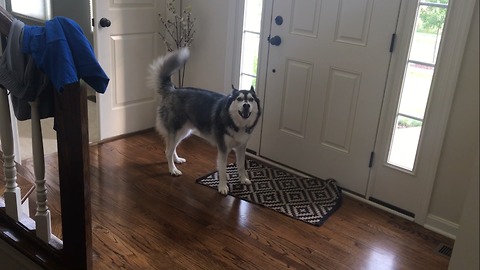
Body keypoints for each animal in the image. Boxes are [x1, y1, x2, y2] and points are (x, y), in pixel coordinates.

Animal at [150, 48, 262, 195]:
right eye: (239, 99)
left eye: (250, 99)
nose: (246, 106)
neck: (236, 123)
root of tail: (173, 90)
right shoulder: (223, 149)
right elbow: (222, 170)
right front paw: (222, 187)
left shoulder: (241, 147)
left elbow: (241, 165)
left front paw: (243, 179)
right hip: (177, 130)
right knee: (168, 151)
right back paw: (173, 170)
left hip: (183, 132)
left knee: (170, 148)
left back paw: (176, 160)